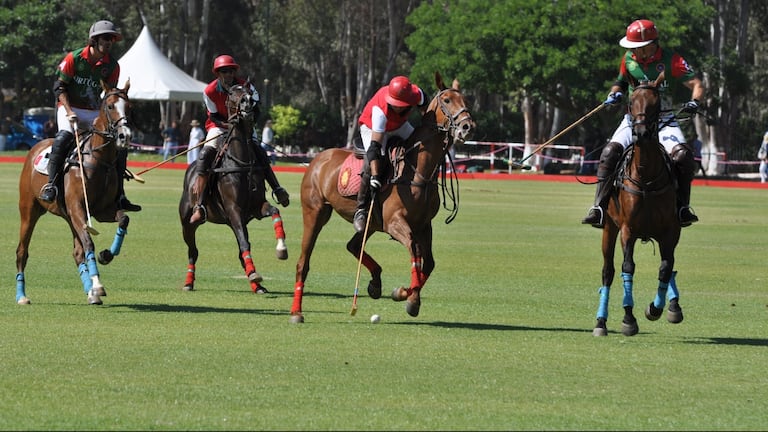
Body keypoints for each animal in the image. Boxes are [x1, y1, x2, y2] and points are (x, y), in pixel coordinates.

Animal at [16, 80, 135, 304]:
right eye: (110, 106)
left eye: (129, 107)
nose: (125, 136)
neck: (99, 159)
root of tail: (35, 146)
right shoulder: (78, 207)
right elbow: (89, 242)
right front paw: (98, 285)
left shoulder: (102, 210)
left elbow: (123, 219)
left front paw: (107, 255)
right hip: (29, 211)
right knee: (22, 251)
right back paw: (22, 296)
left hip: (69, 216)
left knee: (77, 252)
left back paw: (90, 293)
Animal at [178, 82, 290, 294]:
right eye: (231, 93)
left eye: (249, 92)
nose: (247, 103)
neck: (242, 162)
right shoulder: (233, 209)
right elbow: (244, 243)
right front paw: (255, 274)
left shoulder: (255, 208)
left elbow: (275, 212)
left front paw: (281, 249)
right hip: (188, 222)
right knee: (192, 251)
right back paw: (188, 282)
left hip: (231, 221)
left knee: (239, 249)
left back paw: (257, 286)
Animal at [292, 71, 474, 322]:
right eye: (446, 100)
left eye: (464, 99)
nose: (467, 126)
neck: (417, 170)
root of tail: (317, 159)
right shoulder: (395, 222)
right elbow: (415, 252)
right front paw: (408, 296)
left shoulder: (424, 225)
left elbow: (428, 263)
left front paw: (406, 296)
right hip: (315, 213)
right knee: (303, 262)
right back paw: (296, 312)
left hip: (371, 224)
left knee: (353, 245)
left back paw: (375, 283)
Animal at [592, 73, 684, 338]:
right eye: (631, 102)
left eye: (656, 103)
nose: (641, 132)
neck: (646, 177)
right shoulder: (627, 230)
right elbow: (627, 268)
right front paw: (628, 318)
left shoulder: (671, 231)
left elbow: (665, 267)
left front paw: (656, 309)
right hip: (609, 228)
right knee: (608, 272)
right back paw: (600, 322)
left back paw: (674, 306)